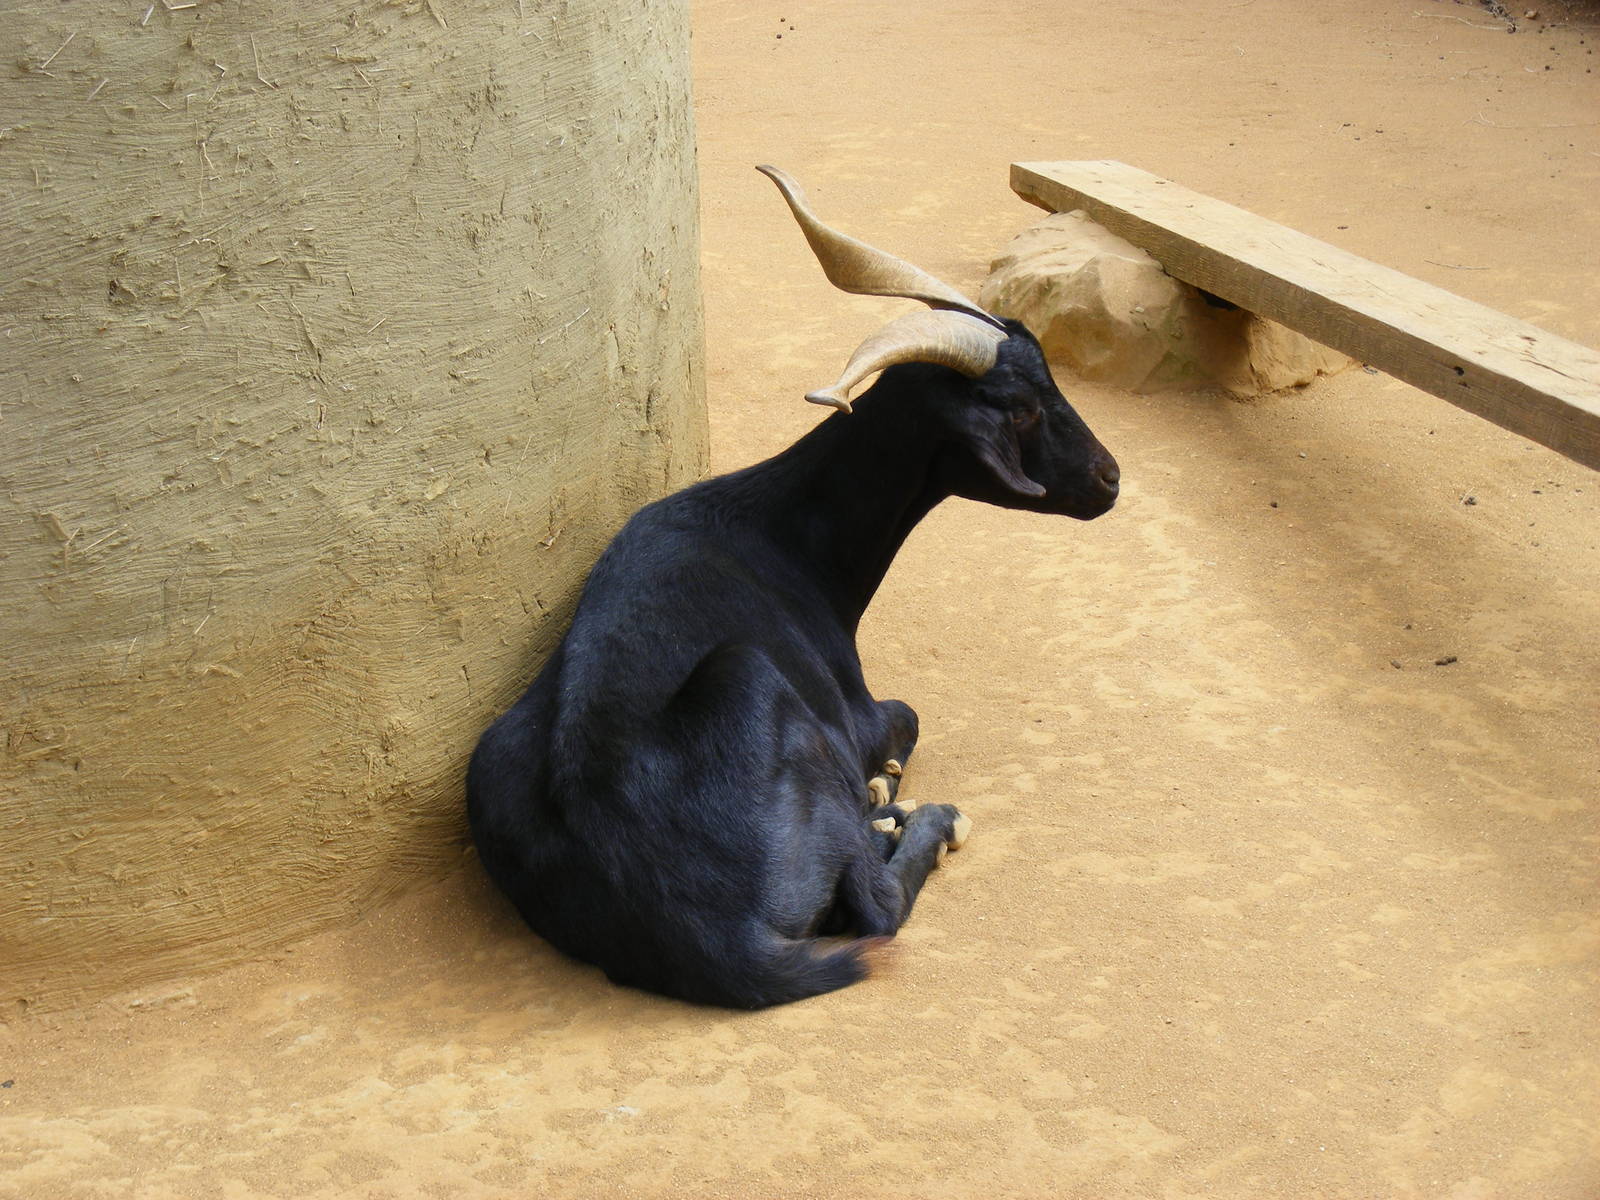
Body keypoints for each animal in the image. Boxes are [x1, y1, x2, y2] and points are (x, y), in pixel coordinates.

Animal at [467, 167, 1119, 1008]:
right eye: (1024, 407)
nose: (1110, 478)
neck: (785, 537)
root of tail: (719, 939)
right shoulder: (858, 713)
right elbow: (906, 720)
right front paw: (885, 788)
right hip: (752, 677)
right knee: (875, 908)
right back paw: (919, 822)